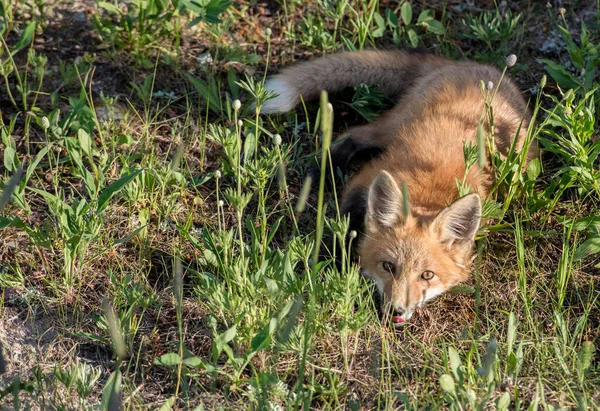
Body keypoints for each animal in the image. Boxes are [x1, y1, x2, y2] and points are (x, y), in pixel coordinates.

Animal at [262, 50, 540, 326]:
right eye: (388, 266)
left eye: (427, 275)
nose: (396, 310)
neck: (427, 192)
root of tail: (476, 67)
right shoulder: (364, 179)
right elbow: (342, 225)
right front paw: (328, 262)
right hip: (392, 126)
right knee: (355, 133)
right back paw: (323, 168)